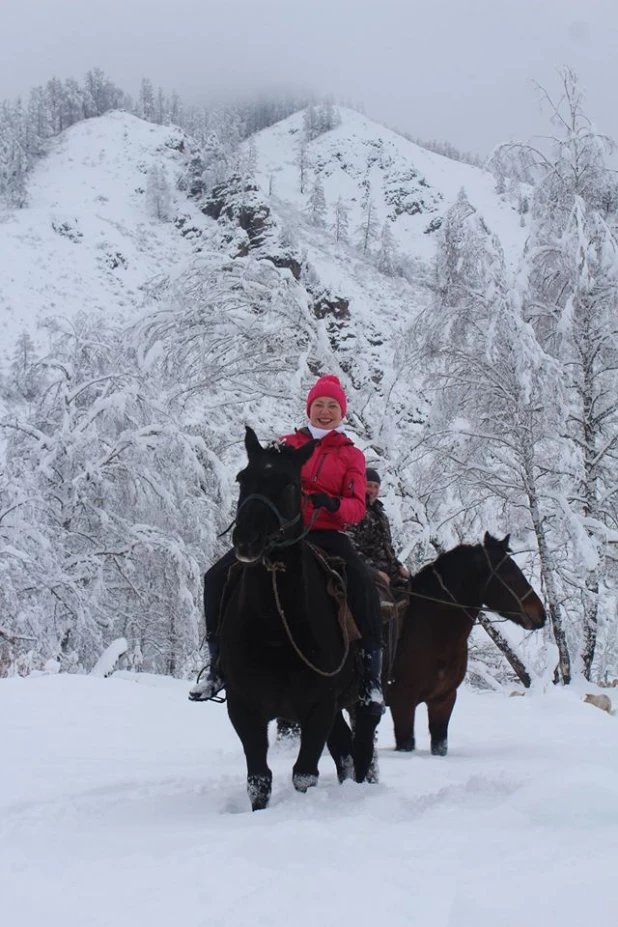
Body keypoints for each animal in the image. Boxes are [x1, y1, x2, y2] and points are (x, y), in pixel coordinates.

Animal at [219, 428, 378, 812]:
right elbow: (258, 779)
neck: (275, 625)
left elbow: (304, 774)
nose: (247, 541)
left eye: (291, 484)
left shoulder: (318, 707)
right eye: (242, 478)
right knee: (345, 751)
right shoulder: (243, 707)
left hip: (357, 700)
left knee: (362, 746)